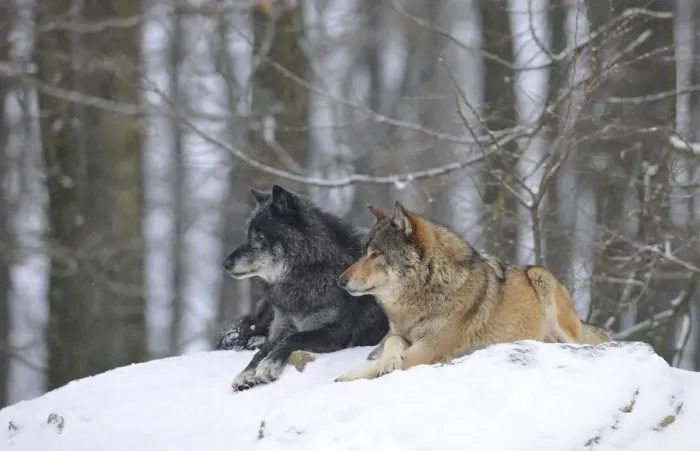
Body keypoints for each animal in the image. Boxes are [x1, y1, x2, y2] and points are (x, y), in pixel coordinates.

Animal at [222, 185, 389, 391]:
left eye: (260, 237)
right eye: (247, 235)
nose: (225, 264)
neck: (309, 271)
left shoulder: (338, 334)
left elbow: (296, 337)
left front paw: (269, 365)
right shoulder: (280, 328)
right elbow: (263, 350)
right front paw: (246, 373)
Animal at [334, 202, 611, 382]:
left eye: (376, 255)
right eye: (364, 253)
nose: (340, 280)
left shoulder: (429, 349)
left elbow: (380, 366)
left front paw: (348, 376)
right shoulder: (400, 333)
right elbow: (391, 343)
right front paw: (387, 360)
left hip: (541, 278)